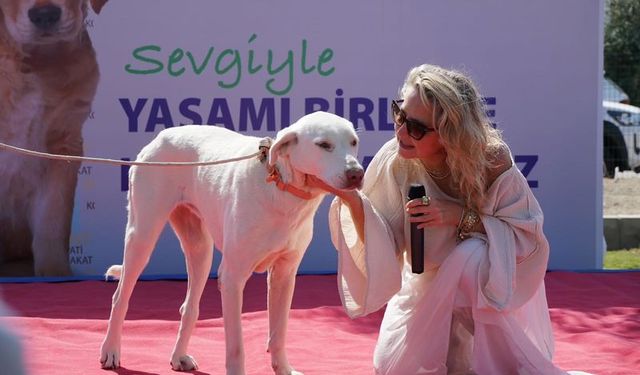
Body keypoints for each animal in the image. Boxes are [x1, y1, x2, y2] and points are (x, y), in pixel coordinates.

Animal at [97, 111, 362, 375]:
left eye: (354, 142)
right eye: (324, 145)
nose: (357, 173)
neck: (283, 189)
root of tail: (162, 135)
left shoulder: (284, 275)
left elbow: (278, 335)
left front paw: (284, 369)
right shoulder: (233, 278)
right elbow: (236, 346)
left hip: (200, 252)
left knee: (189, 307)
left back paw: (178, 356)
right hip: (142, 237)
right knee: (120, 298)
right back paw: (111, 350)